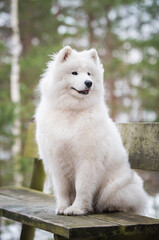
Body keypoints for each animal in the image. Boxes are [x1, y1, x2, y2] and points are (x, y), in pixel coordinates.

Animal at [35, 45, 148, 216]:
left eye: (89, 74)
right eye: (74, 73)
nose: (88, 83)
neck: (72, 111)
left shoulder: (87, 161)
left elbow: (82, 187)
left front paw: (77, 209)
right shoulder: (57, 161)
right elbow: (62, 189)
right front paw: (62, 207)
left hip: (115, 188)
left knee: (126, 204)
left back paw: (110, 207)